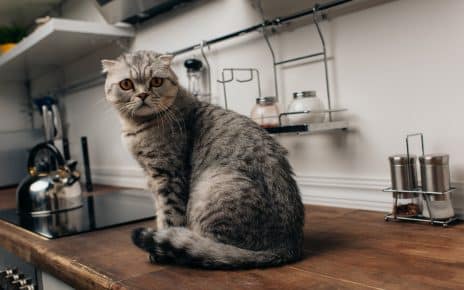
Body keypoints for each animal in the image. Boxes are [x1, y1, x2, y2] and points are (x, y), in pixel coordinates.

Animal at [101, 50, 304, 270]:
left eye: (156, 81)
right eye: (126, 84)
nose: (143, 95)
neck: (137, 127)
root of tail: (287, 246)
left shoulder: (168, 176)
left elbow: (168, 215)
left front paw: (160, 246)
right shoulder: (152, 177)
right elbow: (159, 211)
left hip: (211, 190)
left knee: (209, 250)